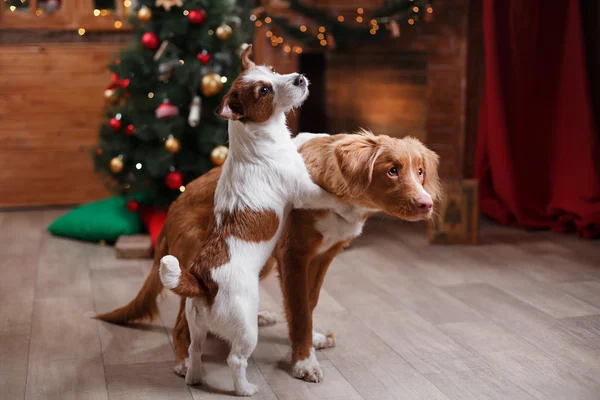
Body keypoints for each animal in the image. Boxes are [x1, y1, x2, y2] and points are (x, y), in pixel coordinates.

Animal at [95, 130, 440, 384]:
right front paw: (303, 363)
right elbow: (299, 311)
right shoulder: (293, 256)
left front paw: (310, 340)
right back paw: (183, 362)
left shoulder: (323, 256)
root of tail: (170, 212)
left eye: (420, 171)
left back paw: (256, 316)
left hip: (258, 261)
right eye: (392, 171)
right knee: (184, 320)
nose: (427, 204)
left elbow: (309, 303)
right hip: (201, 261)